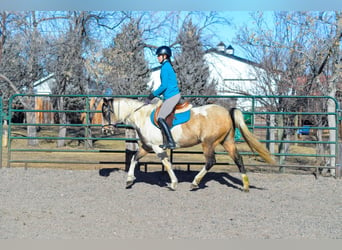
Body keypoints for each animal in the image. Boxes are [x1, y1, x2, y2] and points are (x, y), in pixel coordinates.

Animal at [101, 97, 276, 191]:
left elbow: (167, 164)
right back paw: (245, 186)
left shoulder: (157, 147)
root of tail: (226, 112)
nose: (105, 130)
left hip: (208, 143)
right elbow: (134, 159)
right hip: (227, 142)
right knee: (238, 159)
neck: (142, 116)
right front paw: (129, 180)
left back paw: (195, 183)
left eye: (105, 112)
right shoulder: (147, 146)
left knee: (210, 162)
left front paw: (173, 183)